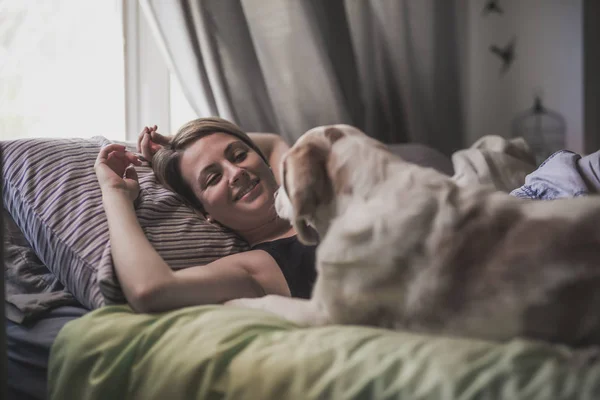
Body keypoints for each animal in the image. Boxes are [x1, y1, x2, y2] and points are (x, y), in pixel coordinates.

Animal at [229, 125, 600, 346]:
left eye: (282, 175)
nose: (274, 194)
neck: (373, 190)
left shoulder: (323, 316)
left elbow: (266, 300)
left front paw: (233, 302)